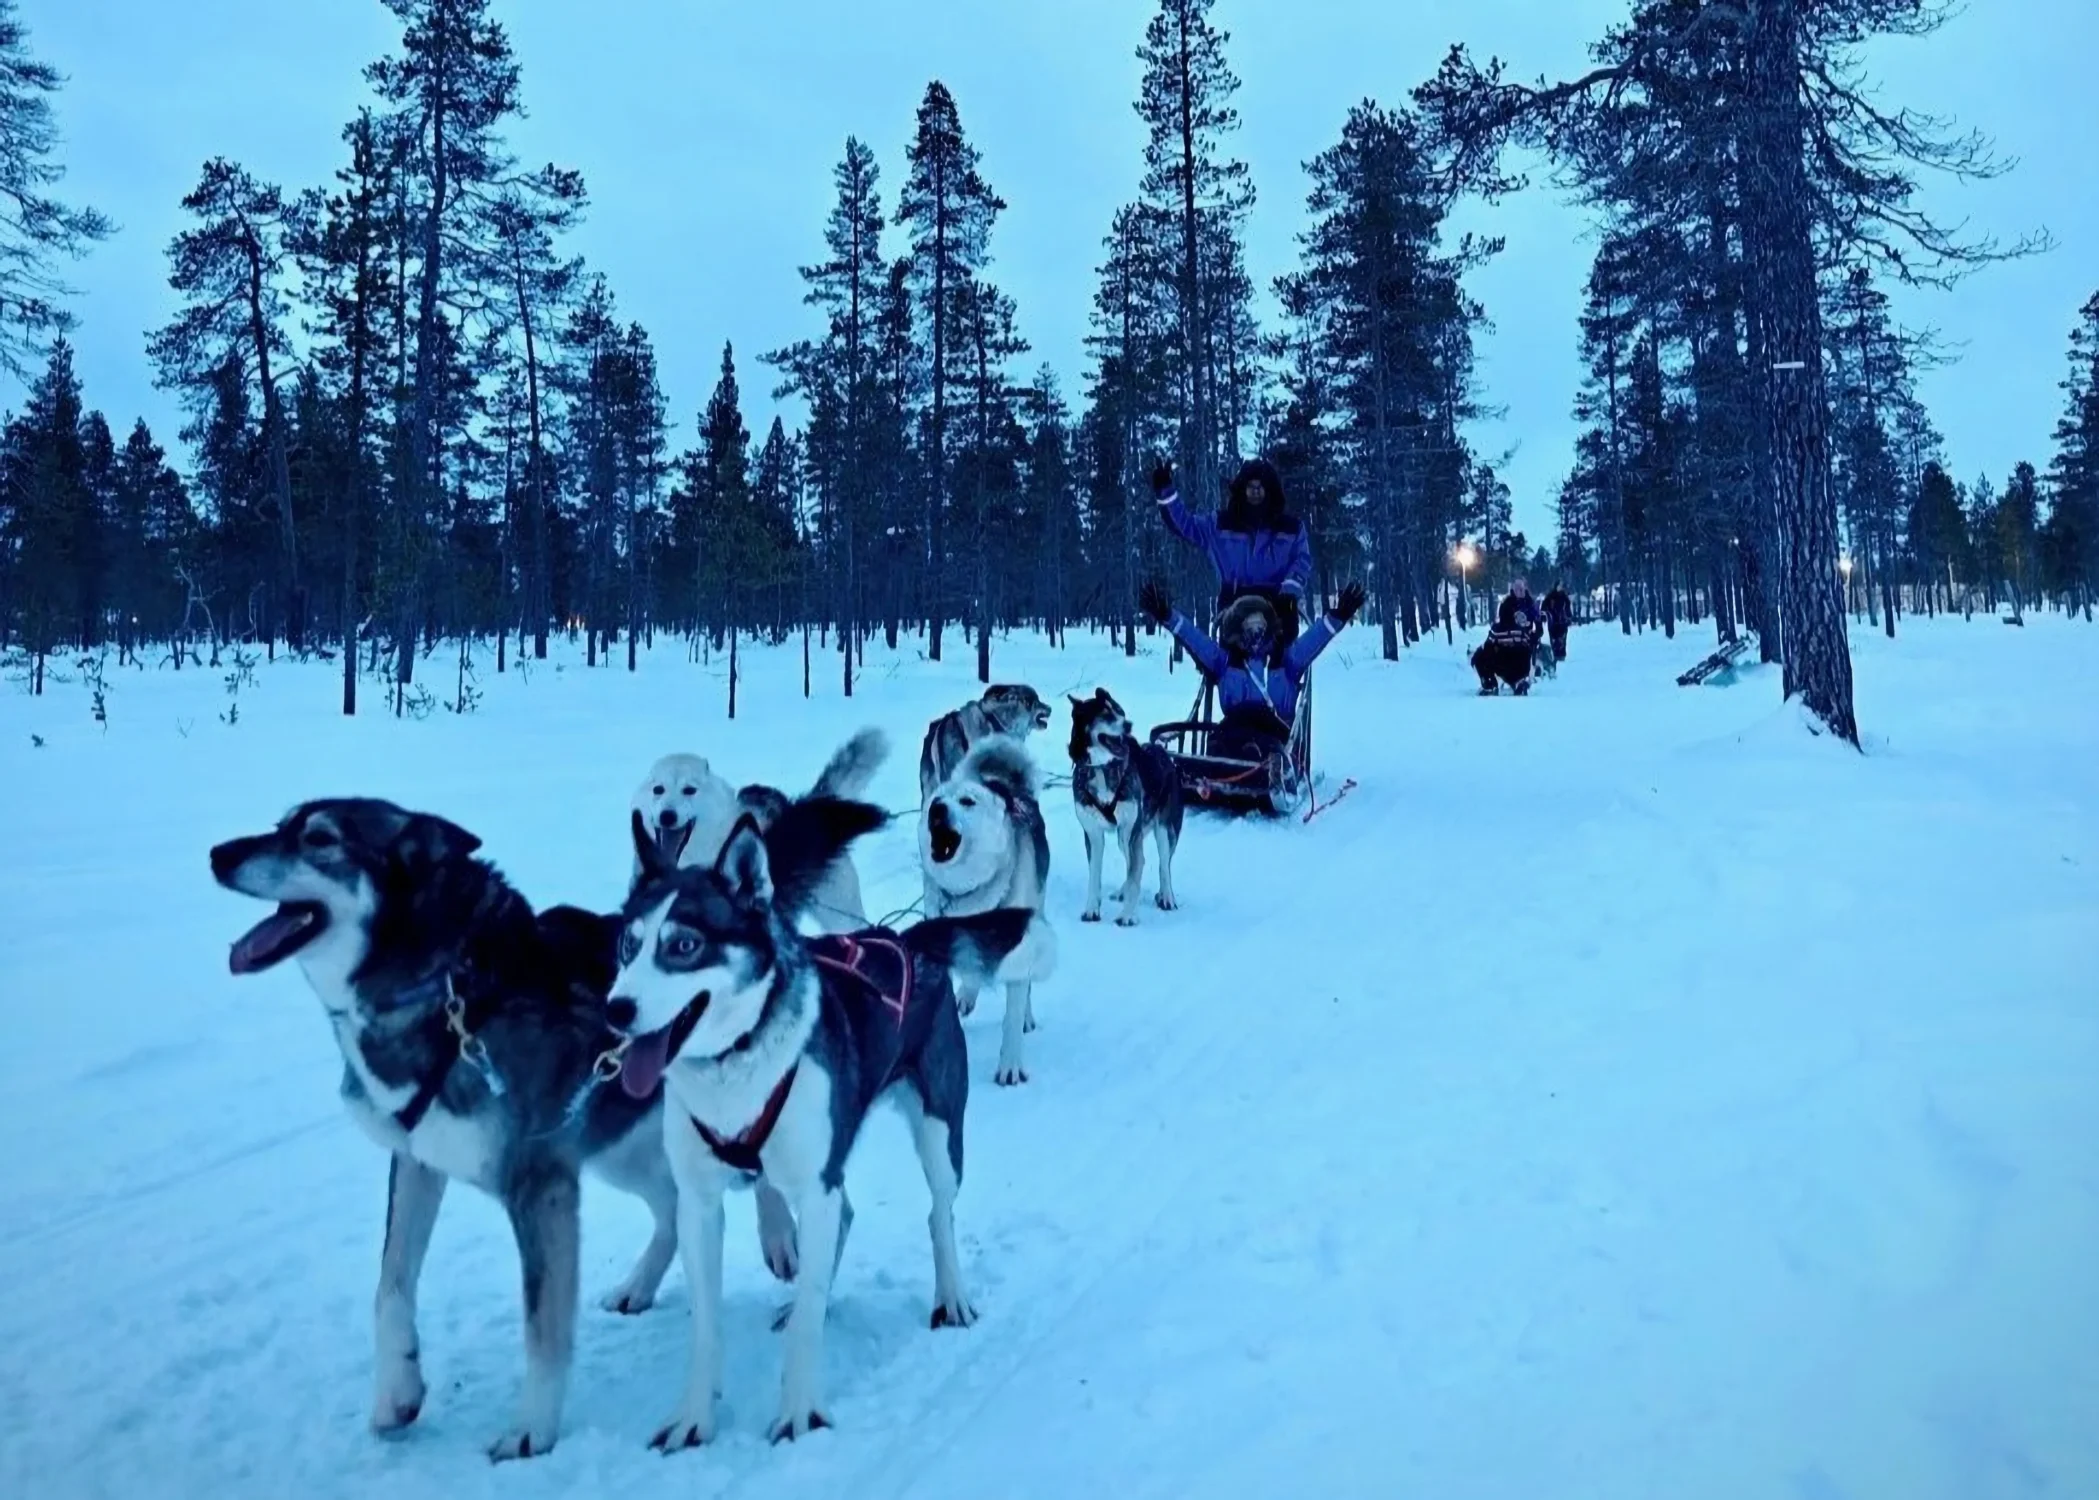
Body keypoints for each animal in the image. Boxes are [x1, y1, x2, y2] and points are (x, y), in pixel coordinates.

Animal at [209, 805, 680, 1460]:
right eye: (279, 824)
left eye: (319, 838)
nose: (218, 854)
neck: (449, 995)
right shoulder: (417, 1163)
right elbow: (390, 1285)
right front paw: (396, 1393)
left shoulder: (541, 1186)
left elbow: (542, 1324)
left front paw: (532, 1429)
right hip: (621, 1150)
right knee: (675, 1203)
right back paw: (642, 1283)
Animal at [604, 797, 1036, 1443]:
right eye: (628, 947)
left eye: (683, 946)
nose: (617, 1010)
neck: (736, 1064)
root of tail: (907, 939)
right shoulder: (701, 1202)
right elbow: (707, 1326)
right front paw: (694, 1419)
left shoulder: (813, 1185)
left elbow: (808, 1322)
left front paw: (800, 1412)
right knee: (848, 1218)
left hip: (938, 1133)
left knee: (939, 1213)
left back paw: (951, 1297)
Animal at [1066, 688, 1183, 923]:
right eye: (1105, 714)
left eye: (1120, 712)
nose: (1128, 724)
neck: (1101, 768)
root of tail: (1163, 753)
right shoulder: (1093, 833)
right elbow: (1096, 875)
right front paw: (1092, 909)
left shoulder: (1132, 829)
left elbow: (1138, 873)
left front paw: (1128, 915)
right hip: (1124, 837)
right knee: (1135, 862)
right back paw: (1123, 890)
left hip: (1162, 830)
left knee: (1162, 865)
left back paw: (1167, 896)